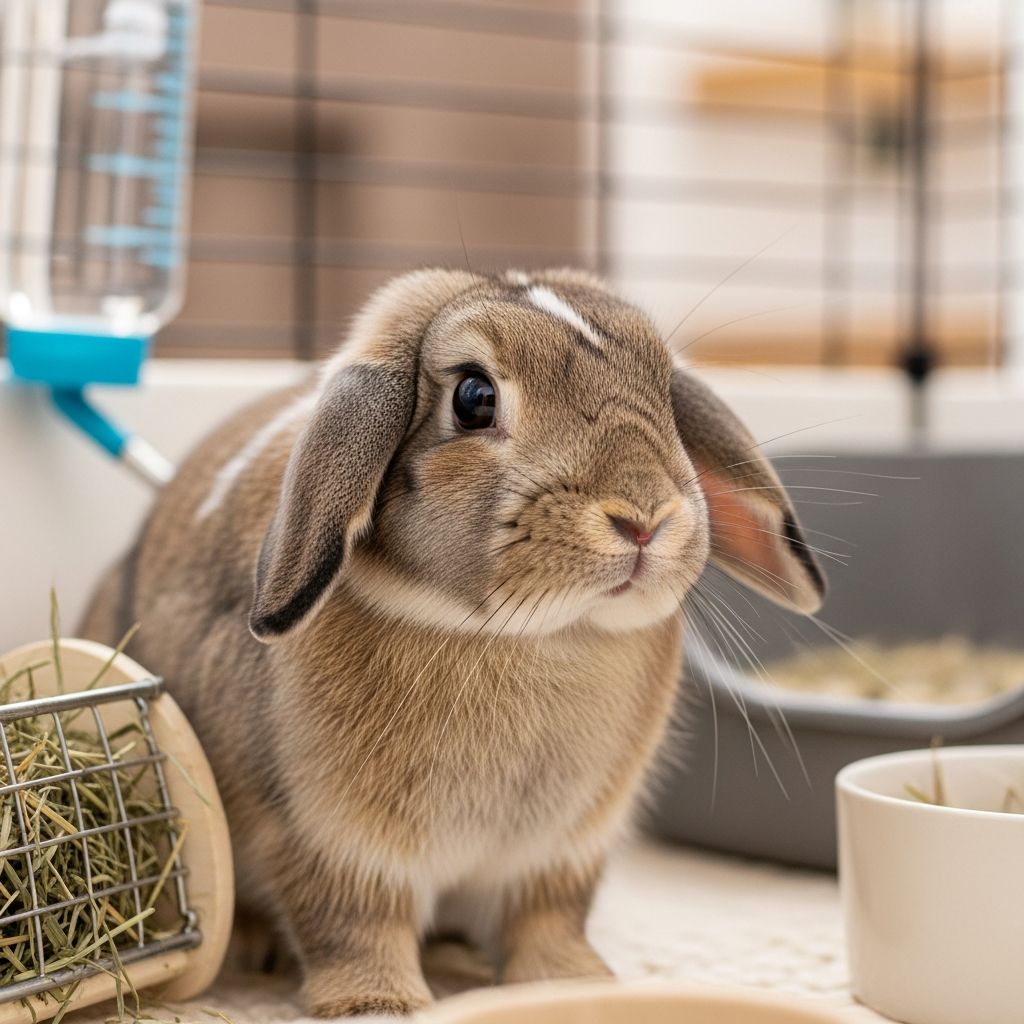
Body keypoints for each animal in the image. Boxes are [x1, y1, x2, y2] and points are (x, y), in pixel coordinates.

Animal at [80, 267, 825, 1017]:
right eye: (474, 397)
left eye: (665, 390)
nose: (644, 518)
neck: (529, 634)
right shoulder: (330, 844)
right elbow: (354, 925)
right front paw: (380, 1005)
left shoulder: (559, 856)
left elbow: (547, 922)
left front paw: (574, 983)